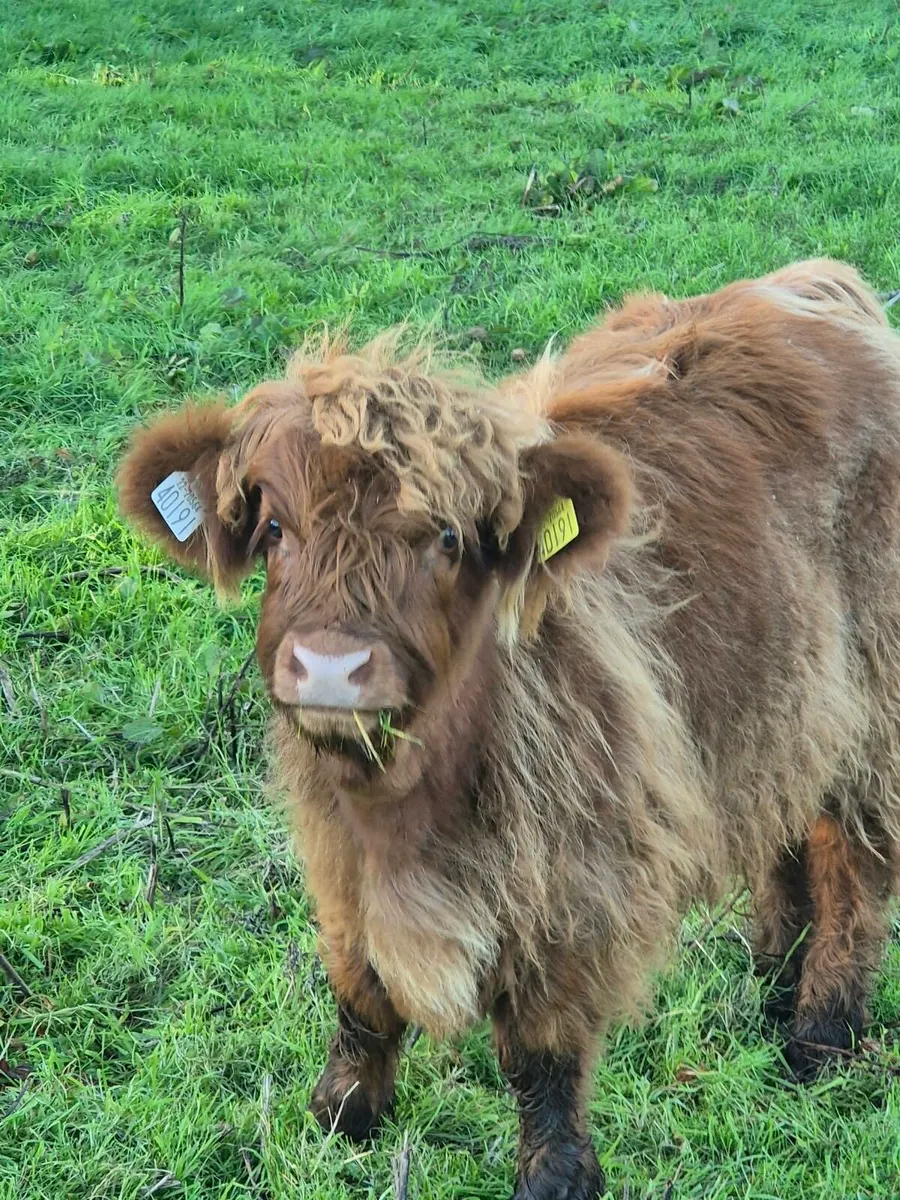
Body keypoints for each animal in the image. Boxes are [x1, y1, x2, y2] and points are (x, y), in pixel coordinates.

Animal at [117, 260, 900, 1199]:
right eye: (274, 527)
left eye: (448, 537)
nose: (333, 667)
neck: (408, 811)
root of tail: (817, 280)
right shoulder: (336, 855)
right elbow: (360, 988)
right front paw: (345, 1109)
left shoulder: (577, 871)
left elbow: (540, 1048)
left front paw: (556, 1174)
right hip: (787, 695)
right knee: (786, 819)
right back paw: (773, 976)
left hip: (874, 707)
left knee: (853, 863)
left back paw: (821, 1034)